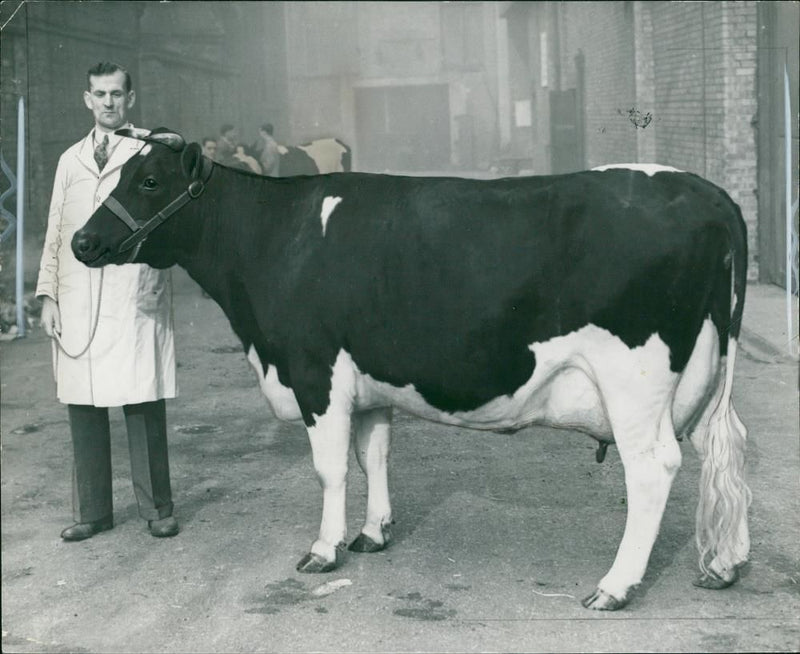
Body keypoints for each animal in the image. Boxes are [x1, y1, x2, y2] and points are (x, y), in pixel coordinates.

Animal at [69, 131, 752, 612]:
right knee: (726, 448)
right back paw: (724, 566)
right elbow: (373, 454)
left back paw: (614, 586)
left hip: (634, 380)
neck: (275, 239)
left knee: (654, 468)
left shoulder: (314, 369)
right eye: (119, 173)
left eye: (149, 180)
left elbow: (329, 468)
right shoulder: (367, 380)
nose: (81, 242)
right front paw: (373, 534)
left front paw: (323, 550)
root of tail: (711, 194)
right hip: (706, 370)